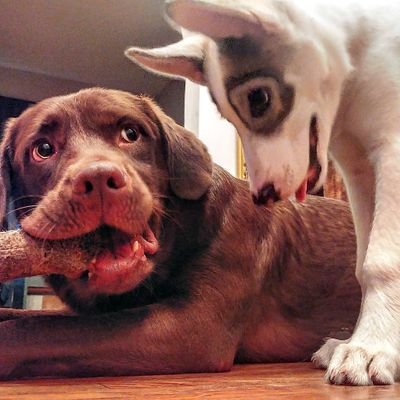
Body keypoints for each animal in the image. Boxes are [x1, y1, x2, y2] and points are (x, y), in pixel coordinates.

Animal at [0, 87, 360, 378]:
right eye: (42, 149)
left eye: (130, 133)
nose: (98, 178)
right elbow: (36, 318)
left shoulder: (193, 326)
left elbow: (37, 330)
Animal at [126, 0, 400, 388]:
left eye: (258, 99)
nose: (262, 196)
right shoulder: (358, 170)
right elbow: (363, 264)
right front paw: (362, 341)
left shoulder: (391, 151)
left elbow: (382, 260)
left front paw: (372, 346)